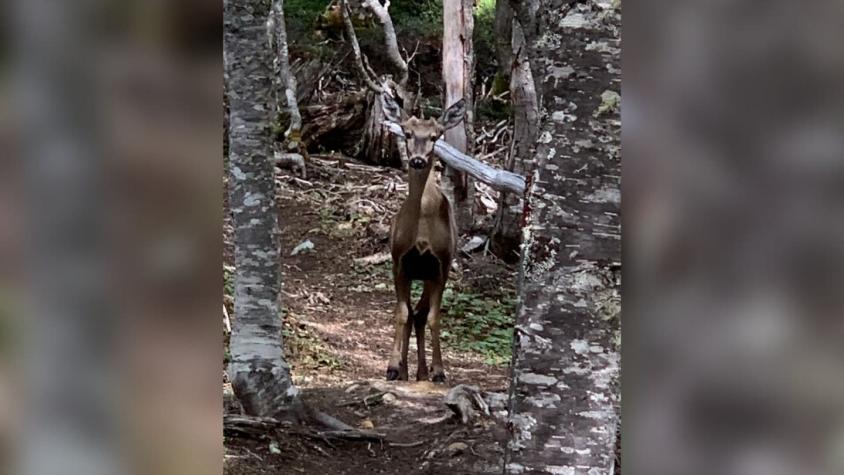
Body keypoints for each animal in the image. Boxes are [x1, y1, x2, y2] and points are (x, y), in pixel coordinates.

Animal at [384, 96, 468, 384]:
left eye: (435, 135)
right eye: (407, 133)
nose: (418, 160)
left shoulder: (441, 264)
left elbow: (433, 317)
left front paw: (439, 370)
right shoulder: (399, 261)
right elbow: (401, 314)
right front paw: (393, 367)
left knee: (420, 315)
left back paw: (422, 372)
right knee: (411, 314)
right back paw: (405, 370)